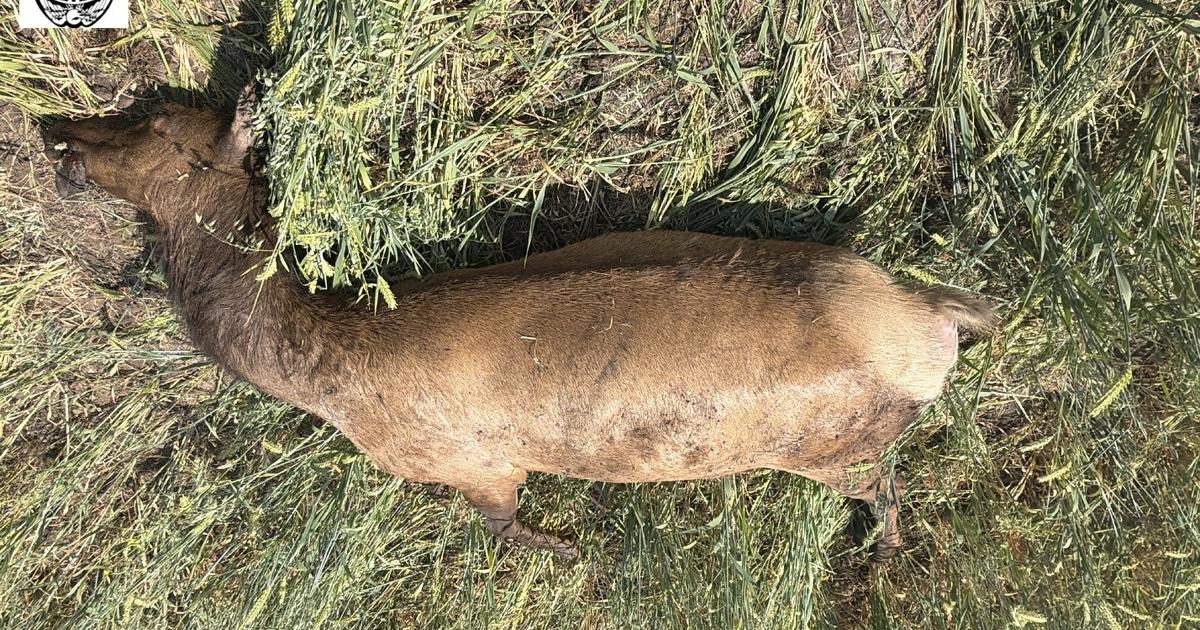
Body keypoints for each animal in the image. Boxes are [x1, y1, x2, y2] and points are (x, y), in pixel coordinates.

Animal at [44, 89, 996, 562]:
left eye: (150, 122)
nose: (59, 134)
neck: (323, 367)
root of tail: (930, 320)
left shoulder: (469, 463)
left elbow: (503, 524)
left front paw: (568, 550)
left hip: (831, 446)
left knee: (885, 483)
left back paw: (882, 550)